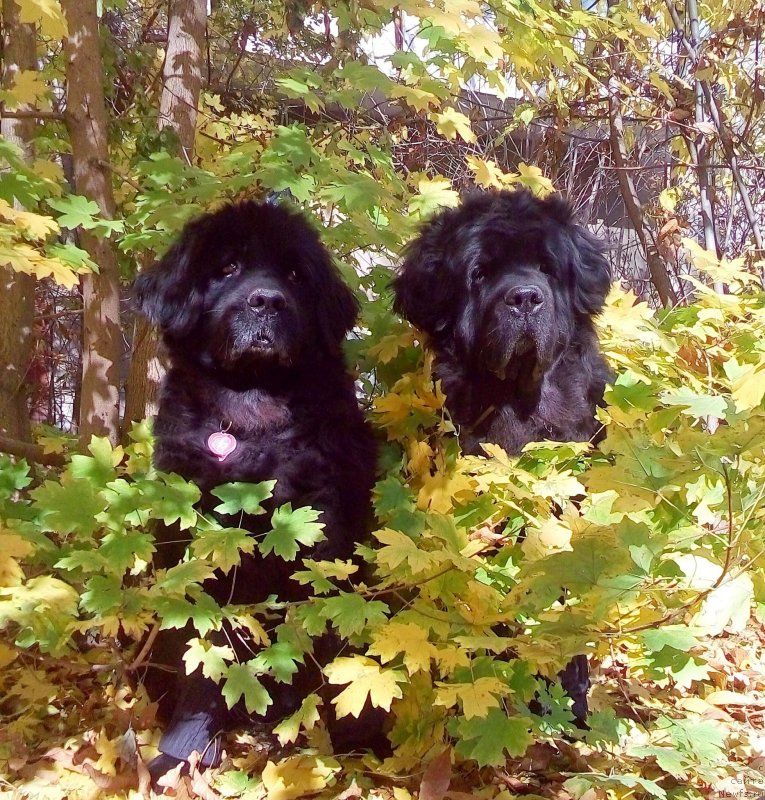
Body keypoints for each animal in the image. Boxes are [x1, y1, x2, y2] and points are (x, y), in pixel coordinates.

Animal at [135, 202, 380, 780]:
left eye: (293, 274)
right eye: (226, 268)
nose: (266, 300)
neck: (248, 413)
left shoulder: (320, 541)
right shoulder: (194, 548)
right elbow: (202, 655)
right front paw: (184, 748)